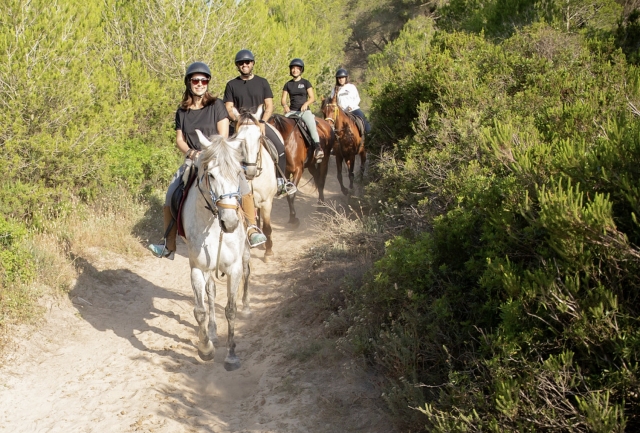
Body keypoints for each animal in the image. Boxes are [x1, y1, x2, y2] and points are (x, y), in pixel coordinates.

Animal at [183, 131, 251, 371]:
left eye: (238, 173)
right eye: (210, 175)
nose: (229, 223)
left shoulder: (233, 268)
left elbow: (231, 310)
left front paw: (231, 355)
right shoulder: (197, 268)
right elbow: (200, 310)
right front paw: (205, 348)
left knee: (247, 272)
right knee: (210, 291)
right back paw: (212, 333)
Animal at [233, 106, 277, 259]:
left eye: (259, 137)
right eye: (239, 138)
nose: (250, 170)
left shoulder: (266, 202)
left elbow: (268, 227)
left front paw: (269, 251)